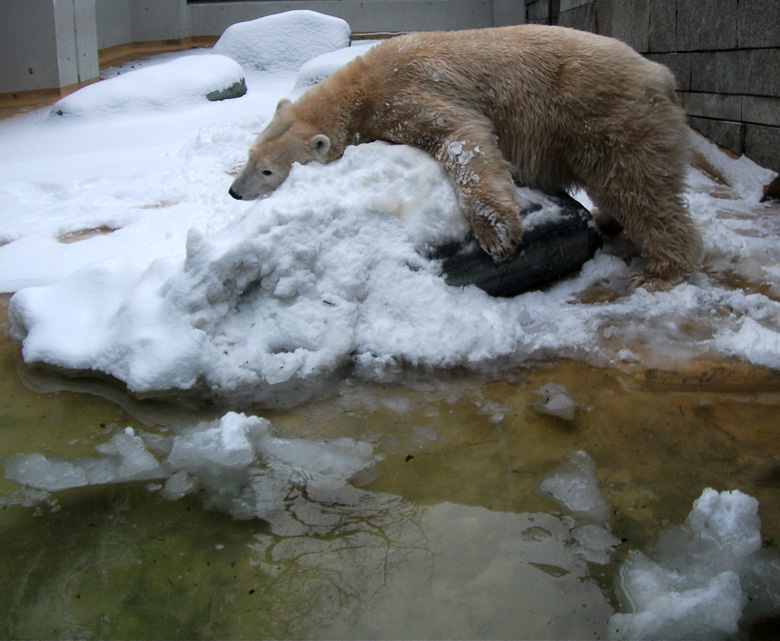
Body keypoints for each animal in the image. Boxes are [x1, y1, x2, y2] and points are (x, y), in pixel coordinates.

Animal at [230, 25, 700, 284]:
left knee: (637, 186)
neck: (361, 86)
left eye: (268, 171)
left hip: (608, 117)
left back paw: (659, 270)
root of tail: (661, 75)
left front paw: (498, 234)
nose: (235, 192)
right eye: (251, 157)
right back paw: (607, 220)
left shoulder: (406, 91)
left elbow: (460, 135)